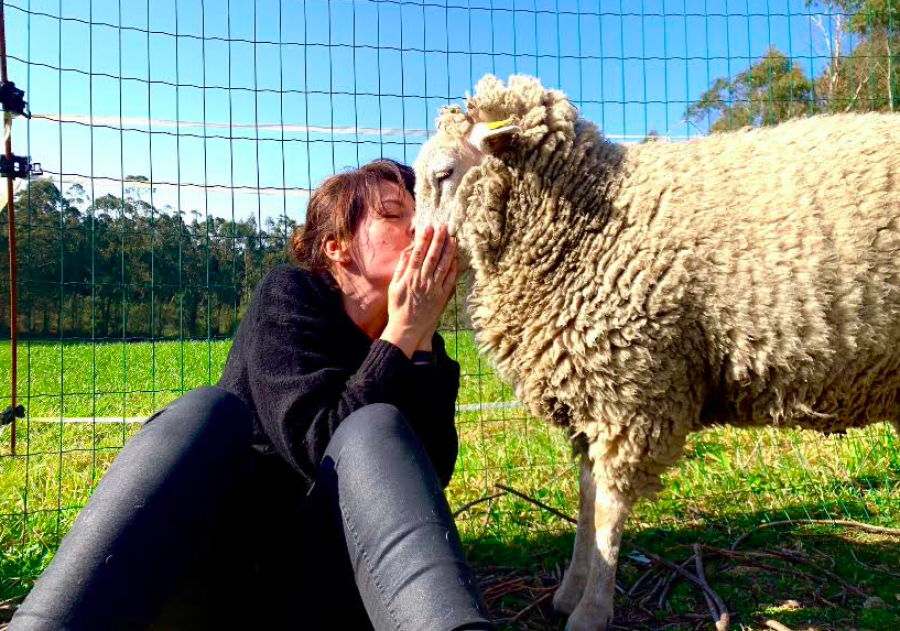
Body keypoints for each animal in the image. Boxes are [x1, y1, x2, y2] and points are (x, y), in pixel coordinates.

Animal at [414, 75, 900, 631]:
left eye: (443, 174)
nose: (412, 249)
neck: (589, 219)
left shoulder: (632, 391)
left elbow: (608, 508)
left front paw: (591, 611)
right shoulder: (593, 393)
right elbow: (586, 496)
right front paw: (570, 591)